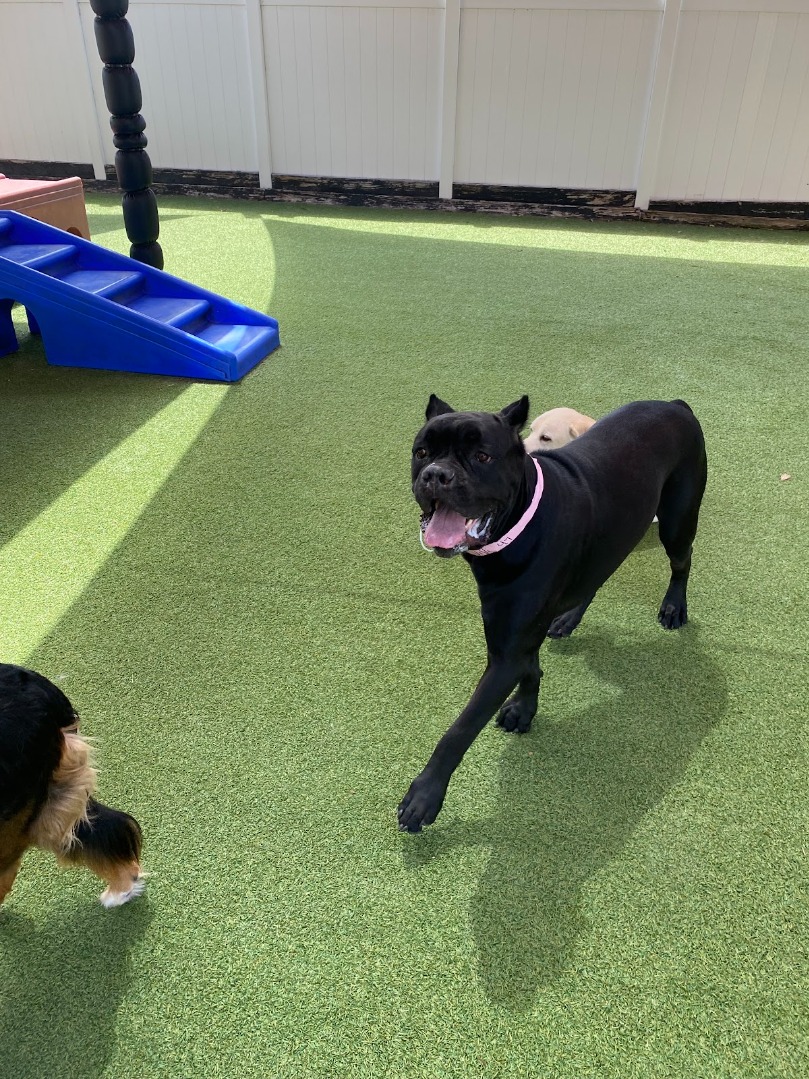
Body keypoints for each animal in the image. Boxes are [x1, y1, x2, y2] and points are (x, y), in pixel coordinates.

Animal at [398, 396, 707, 833]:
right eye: (422, 452)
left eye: (482, 456)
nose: (436, 475)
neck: (517, 528)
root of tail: (675, 403)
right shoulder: (510, 640)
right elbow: (531, 667)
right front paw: (524, 710)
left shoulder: (506, 655)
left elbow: (459, 730)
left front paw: (425, 794)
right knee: (595, 577)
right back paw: (569, 618)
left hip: (678, 521)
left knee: (682, 561)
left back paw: (675, 606)